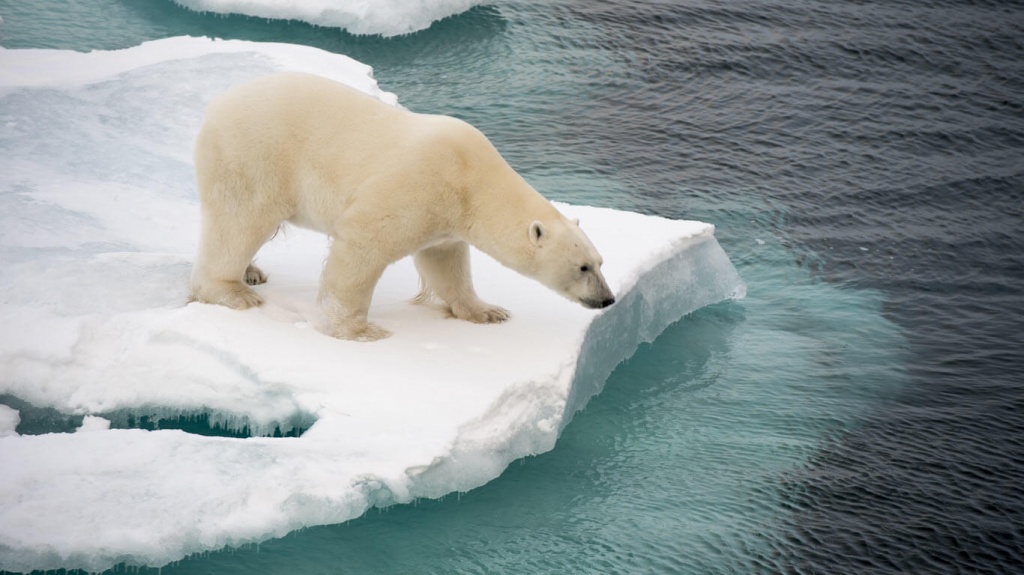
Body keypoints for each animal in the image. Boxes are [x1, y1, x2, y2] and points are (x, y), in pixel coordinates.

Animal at [188, 72, 610, 339]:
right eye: (583, 266)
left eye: (601, 262)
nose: (607, 299)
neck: (471, 176)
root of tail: (216, 104)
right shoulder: (418, 182)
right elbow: (363, 244)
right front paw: (357, 330)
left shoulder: (446, 216)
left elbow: (446, 263)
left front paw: (487, 311)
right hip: (255, 154)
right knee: (240, 219)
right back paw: (233, 291)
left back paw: (252, 272)